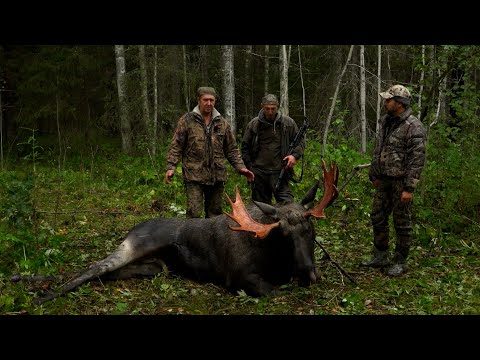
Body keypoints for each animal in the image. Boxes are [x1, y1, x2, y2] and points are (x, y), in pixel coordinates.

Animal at [29, 160, 338, 304]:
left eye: (310, 229)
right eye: (282, 234)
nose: (308, 272)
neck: (274, 258)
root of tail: (133, 228)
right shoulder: (239, 276)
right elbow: (274, 291)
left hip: (153, 266)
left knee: (106, 274)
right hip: (131, 246)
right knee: (91, 269)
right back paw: (42, 294)